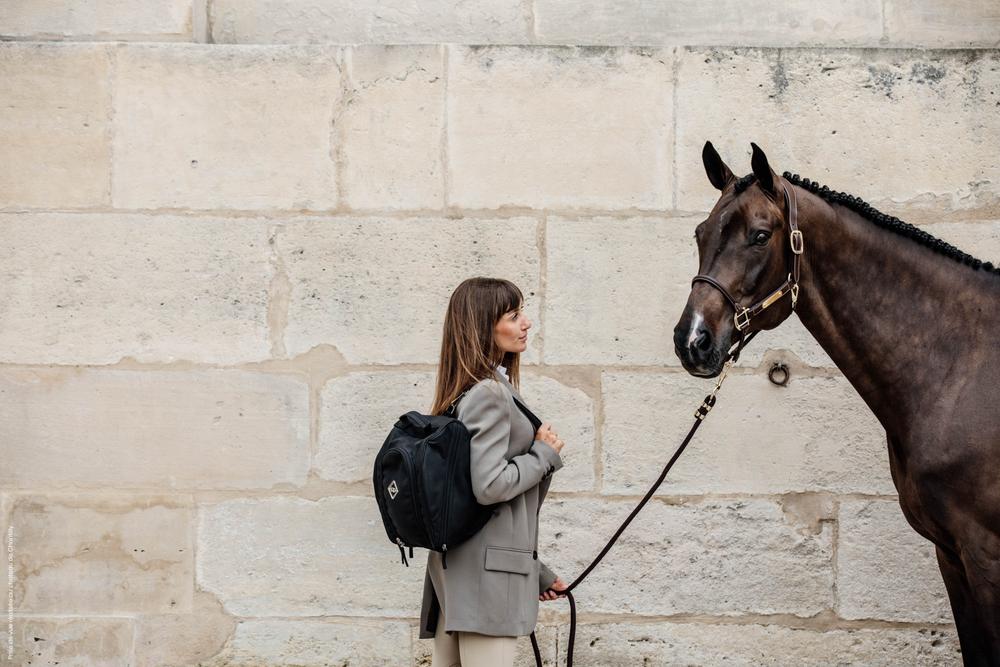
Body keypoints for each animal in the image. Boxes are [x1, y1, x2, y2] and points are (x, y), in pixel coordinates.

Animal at [676, 140, 996, 664]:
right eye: (701, 233)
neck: (960, 366)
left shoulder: (985, 554)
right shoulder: (952, 556)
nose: (692, 341)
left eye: (760, 236)